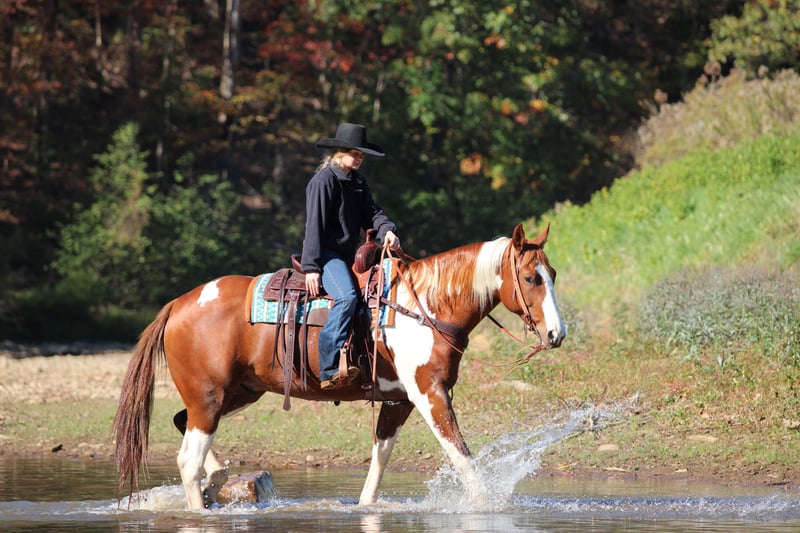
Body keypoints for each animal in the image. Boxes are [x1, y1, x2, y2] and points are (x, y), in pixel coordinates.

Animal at [113, 223, 566, 510]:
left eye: (553, 274)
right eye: (531, 278)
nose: (556, 334)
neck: (424, 306)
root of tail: (178, 304)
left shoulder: (398, 401)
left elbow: (380, 459)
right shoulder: (429, 394)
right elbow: (461, 455)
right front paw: (488, 504)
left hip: (234, 393)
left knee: (181, 426)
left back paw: (223, 479)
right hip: (209, 397)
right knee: (188, 461)